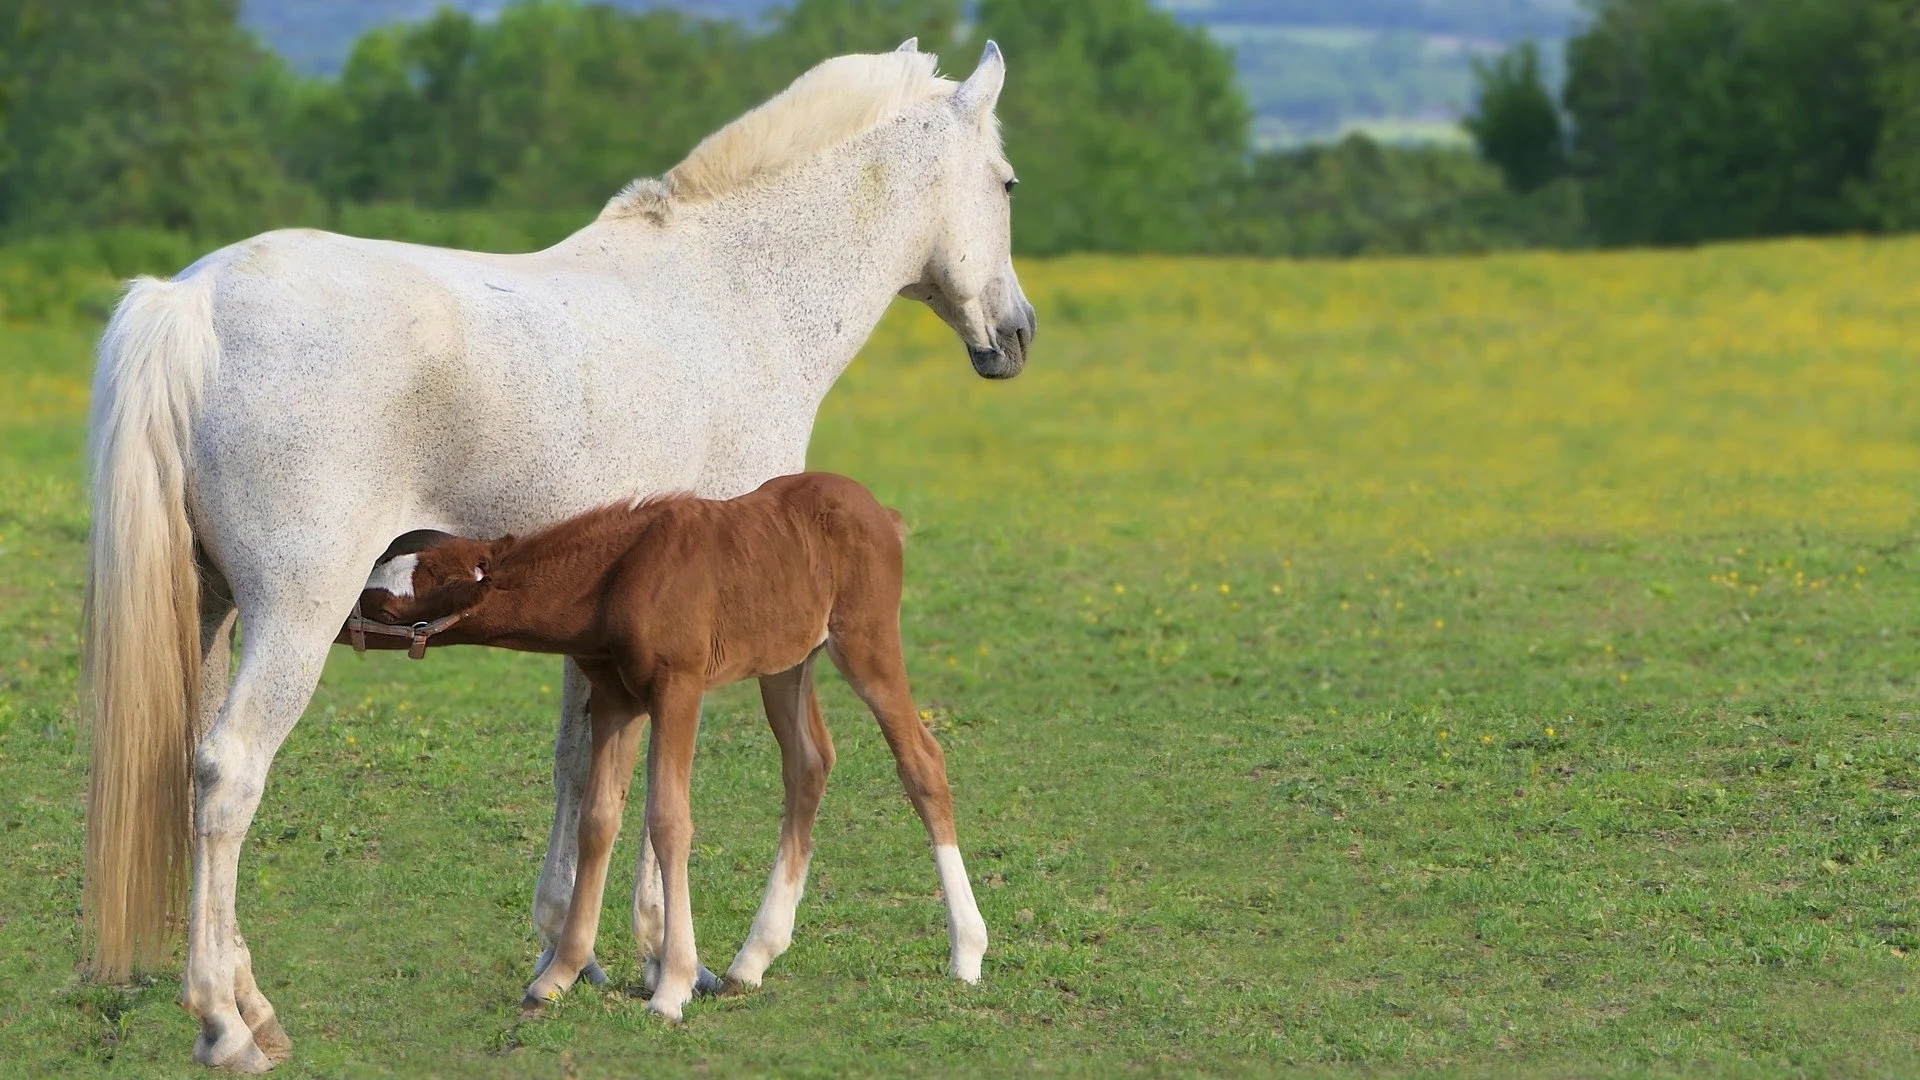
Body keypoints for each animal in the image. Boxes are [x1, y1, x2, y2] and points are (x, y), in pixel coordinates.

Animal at [341, 472, 990, 1014]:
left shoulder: (679, 688)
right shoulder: (616, 698)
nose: (339, 625)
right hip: (786, 661)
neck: (615, 579)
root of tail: (881, 511)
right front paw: (560, 975)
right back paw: (751, 961)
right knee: (809, 763)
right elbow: (599, 817)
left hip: (865, 639)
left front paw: (672, 986)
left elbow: (668, 817)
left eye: (385, 602)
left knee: (920, 760)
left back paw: (966, 953)